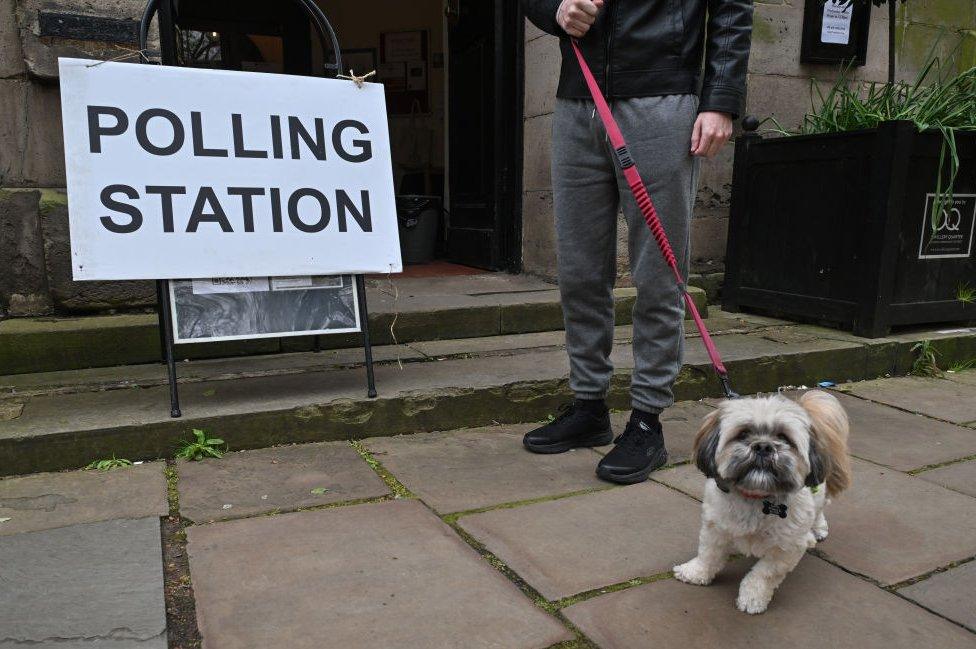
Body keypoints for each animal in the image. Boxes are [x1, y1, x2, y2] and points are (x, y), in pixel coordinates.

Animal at [676, 390, 852, 612]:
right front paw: (695, 572)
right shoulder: (715, 527)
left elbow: (764, 574)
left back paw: (817, 529)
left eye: (784, 437)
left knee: (821, 506)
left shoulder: (786, 548)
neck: (756, 497)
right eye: (743, 434)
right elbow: (708, 554)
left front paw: (752, 598)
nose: (763, 446)